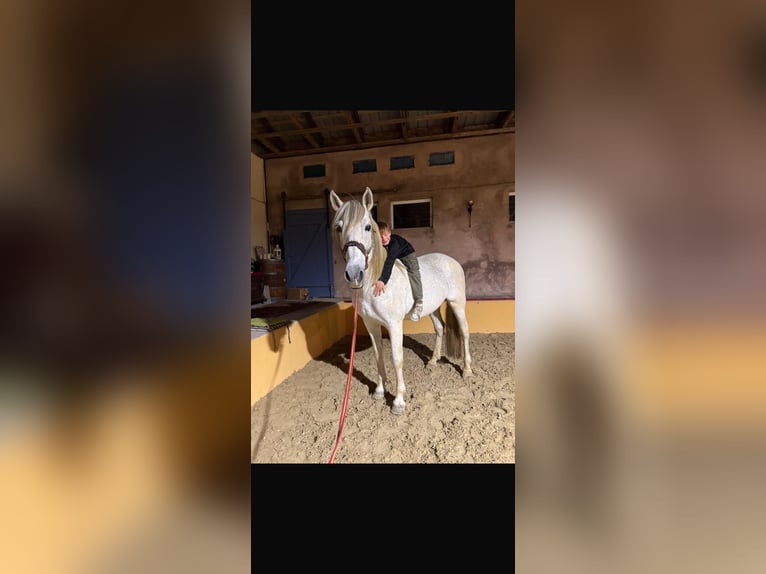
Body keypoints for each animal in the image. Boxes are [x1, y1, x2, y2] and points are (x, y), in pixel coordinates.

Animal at [329, 187, 472, 416]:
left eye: (367, 227)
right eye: (339, 227)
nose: (354, 273)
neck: (375, 283)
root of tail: (451, 260)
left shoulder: (394, 324)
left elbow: (397, 359)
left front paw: (398, 401)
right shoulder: (371, 324)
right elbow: (378, 356)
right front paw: (379, 391)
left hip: (457, 303)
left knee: (465, 332)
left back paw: (467, 370)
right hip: (433, 308)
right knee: (440, 328)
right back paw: (433, 361)